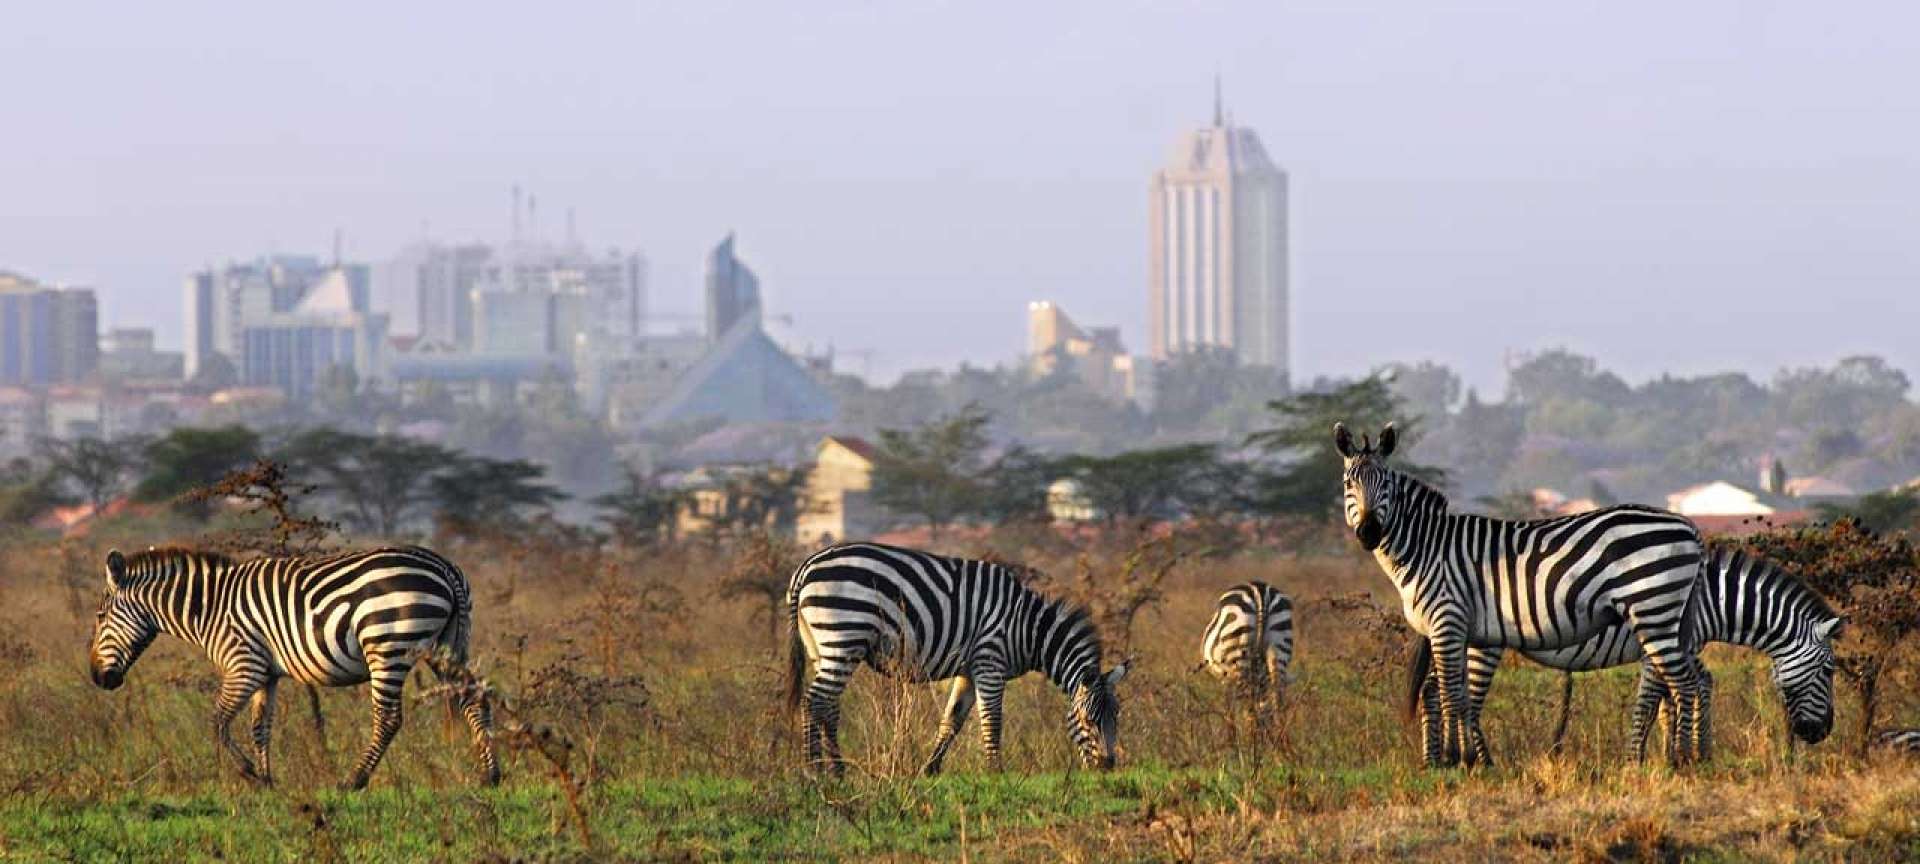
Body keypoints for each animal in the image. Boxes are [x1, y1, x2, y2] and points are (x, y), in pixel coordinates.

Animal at [89, 545, 495, 791]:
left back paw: (354, 780)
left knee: (388, 718)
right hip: (443, 645)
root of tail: (445, 567)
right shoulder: (265, 673)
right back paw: (490, 774)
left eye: (99, 617)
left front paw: (250, 773)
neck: (209, 608)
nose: (97, 678)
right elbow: (259, 727)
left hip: (388, 645)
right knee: (474, 696)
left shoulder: (244, 665)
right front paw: (268, 779)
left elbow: (218, 722)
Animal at [787, 541, 1128, 775]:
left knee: (828, 705)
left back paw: (837, 769)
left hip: (823, 646)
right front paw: (995, 771)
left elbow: (953, 718)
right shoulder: (990, 662)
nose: (1108, 766)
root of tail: (806, 566)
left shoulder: (968, 670)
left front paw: (930, 769)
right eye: (1088, 720)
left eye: (1115, 718)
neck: (1028, 629)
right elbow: (992, 718)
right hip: (844, 635)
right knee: (815, 700)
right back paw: (814, 769)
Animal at [1198, 579, 1305, 710]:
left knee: (1250, 700)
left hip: (1238, 654)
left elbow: (1230, 704)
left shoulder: (1228, 678)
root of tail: (1261, 592)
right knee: (1276, 697)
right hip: (1279, 647)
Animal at [1336, 422, 1712, 768]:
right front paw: (1462, 760)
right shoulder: (1460, 630)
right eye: (1348, 484)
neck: (1427, 548)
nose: (1368, 532)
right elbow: (1459, 696)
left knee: (1685, 683)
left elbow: (1450, 695)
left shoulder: (1447, 620)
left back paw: (1684, 760)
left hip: (1653, 610)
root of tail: (1688, 526)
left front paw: (1456, 759)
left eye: (1386, 484)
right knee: (1685, 682)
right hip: (1667, 617)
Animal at [1413, 545, 1843, 764]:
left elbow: (1683, 693)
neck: (1713, 597)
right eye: (1829, 670)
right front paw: (1642, 760)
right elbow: (1653, 701)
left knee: (1434, 690)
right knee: (1462, 696)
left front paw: (1689, 755)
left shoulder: (1681, 646)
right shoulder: (1665, 645)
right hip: (1482, 643)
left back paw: (1436, 761)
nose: (1821, 733)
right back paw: (1478, 762)